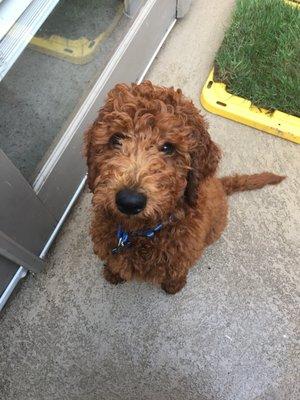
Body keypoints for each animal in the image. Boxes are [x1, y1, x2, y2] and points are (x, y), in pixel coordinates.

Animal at [84, 81, 284, 294]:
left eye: (168, 147)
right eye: (116, 139)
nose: (129, 201)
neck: (143, 233)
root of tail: (219, 183)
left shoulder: (183, 253)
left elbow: (176, 270)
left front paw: (174, 285)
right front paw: (112, 273)